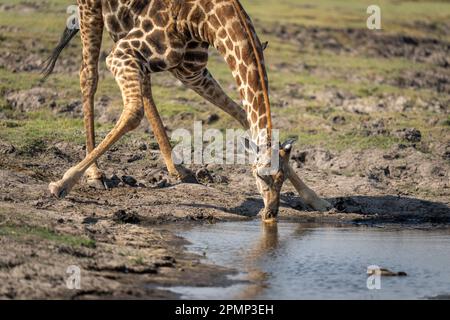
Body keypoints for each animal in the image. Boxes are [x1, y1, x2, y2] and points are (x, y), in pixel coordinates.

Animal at [43, 0, 330, 221]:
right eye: (260, 175)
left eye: (283, 177)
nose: (270, 213)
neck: (205, 19)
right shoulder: (122, 53)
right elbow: (133, 112)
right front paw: (60, 185)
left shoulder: (191, 72)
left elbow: (242, 115)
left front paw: (318, 200)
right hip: (94, 12)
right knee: (88, 76)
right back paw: (95, 174)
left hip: (124, 30)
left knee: (144, 89)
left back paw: (178, 169)